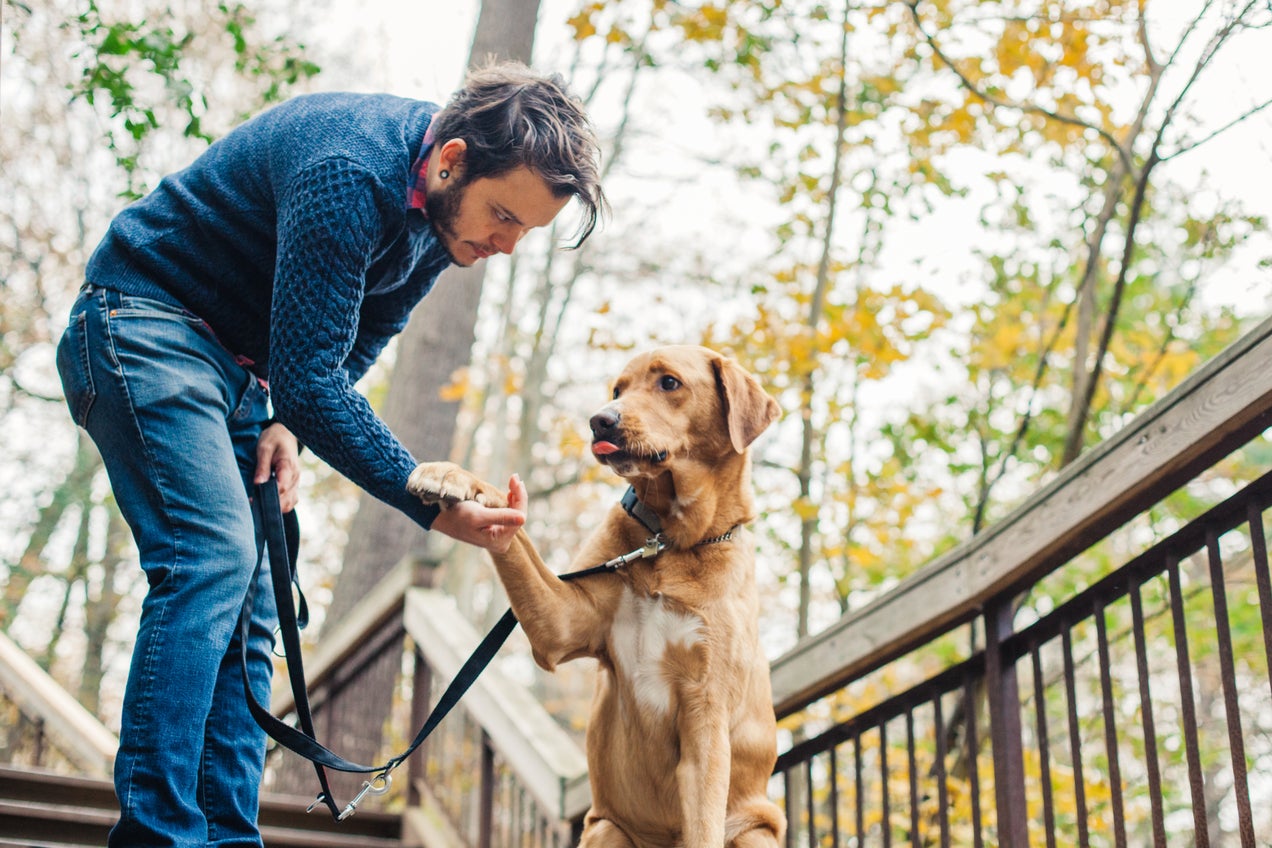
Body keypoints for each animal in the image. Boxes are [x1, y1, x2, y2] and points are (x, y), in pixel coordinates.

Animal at [407, 345, 783, 848]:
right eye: (617, 389)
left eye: (669, 382)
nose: (599, 421)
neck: (670, 541)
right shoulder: (560, 625)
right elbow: (514, 530)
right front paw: (453, 477)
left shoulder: (706, 711)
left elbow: (703, 821)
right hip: (606, 828)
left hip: (754, 833)